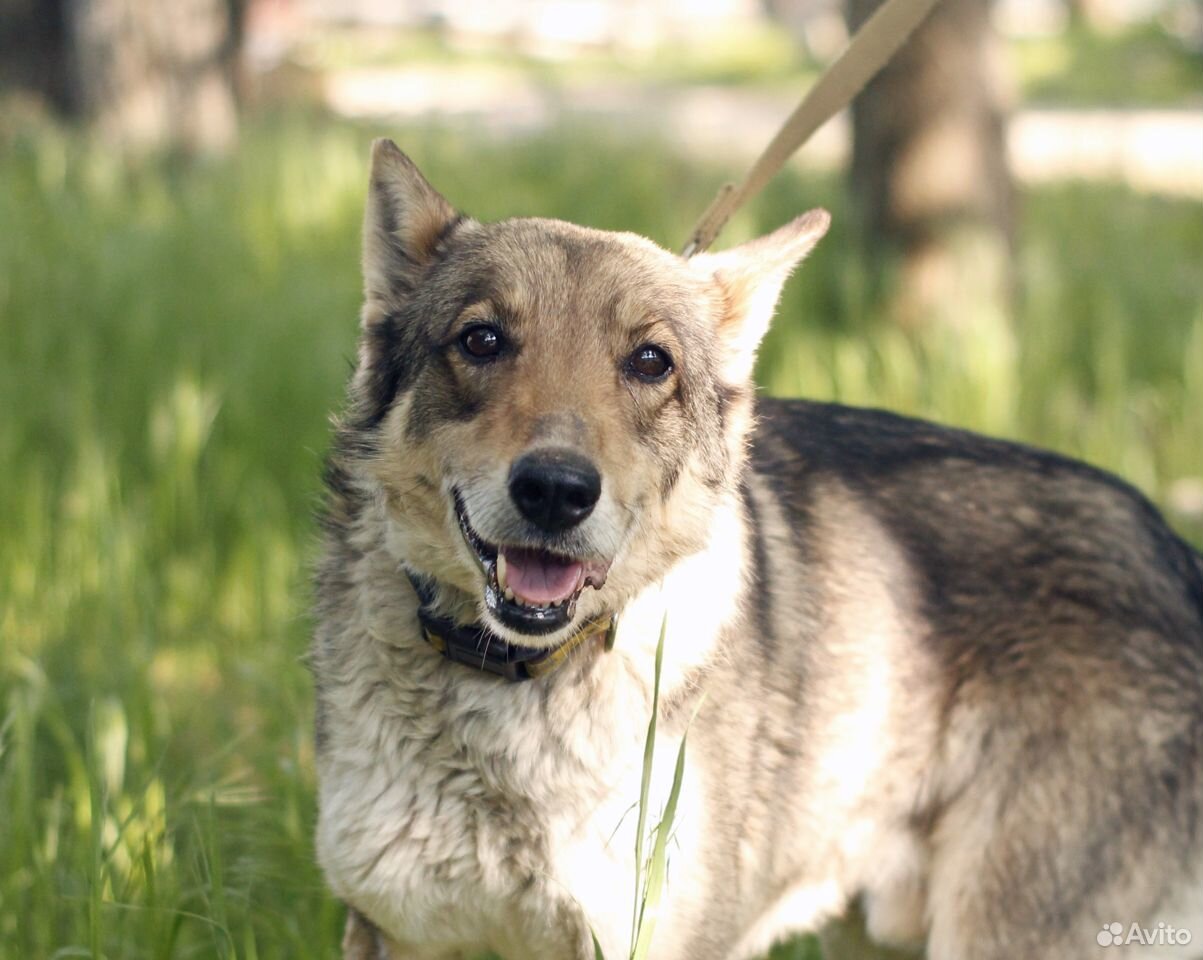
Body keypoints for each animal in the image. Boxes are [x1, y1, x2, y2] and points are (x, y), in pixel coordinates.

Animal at [310, 137, 1203, 960]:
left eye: (649, 362)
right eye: (483, 341)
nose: (557, 491)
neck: (511, 689)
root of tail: (1170, 547)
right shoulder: (394, 930)